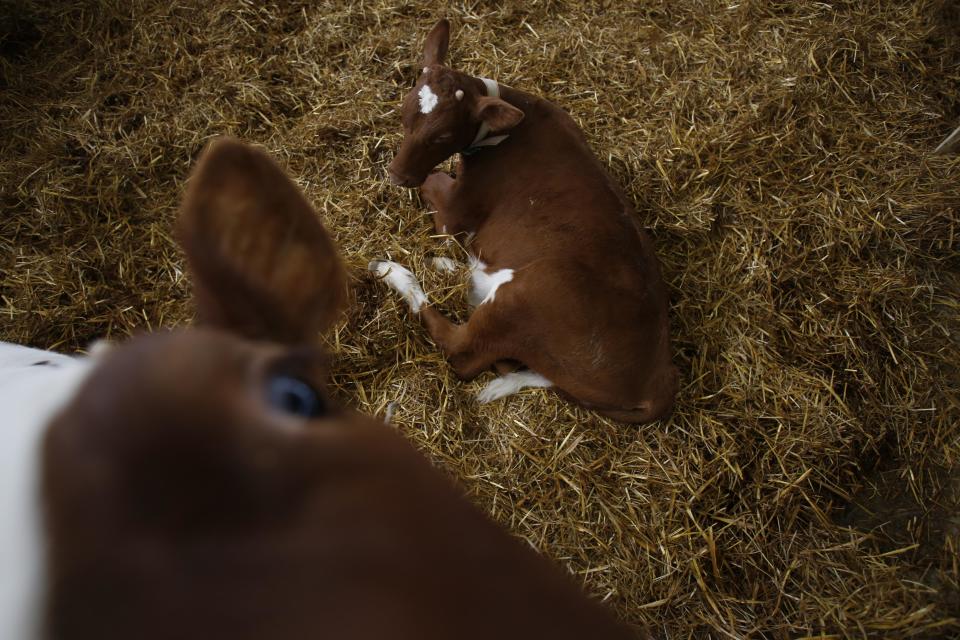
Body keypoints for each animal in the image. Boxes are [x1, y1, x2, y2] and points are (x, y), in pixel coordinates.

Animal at [372, 20, 680, 422]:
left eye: (442, 135)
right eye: (403, 114)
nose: (396, 175)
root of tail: (658, 385)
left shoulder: (455, 214)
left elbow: (434, 181)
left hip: (530, 294)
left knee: (462, 350)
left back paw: (393, 271)